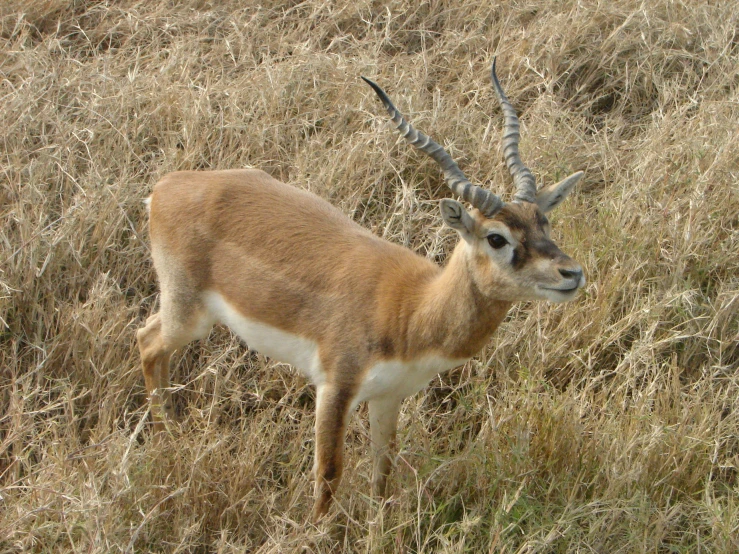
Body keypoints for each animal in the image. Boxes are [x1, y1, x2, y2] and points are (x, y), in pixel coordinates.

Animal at [137, 60, 584, 516]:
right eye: (496, 238)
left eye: (543, 222)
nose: (572, 274)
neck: (413, 307)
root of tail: (166, 187)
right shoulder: (335, 388)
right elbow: (328, 474)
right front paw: (317, 528)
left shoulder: (389, 396)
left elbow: (383, 471)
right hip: (189, 313)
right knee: (147, 341)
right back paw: (166, 436)